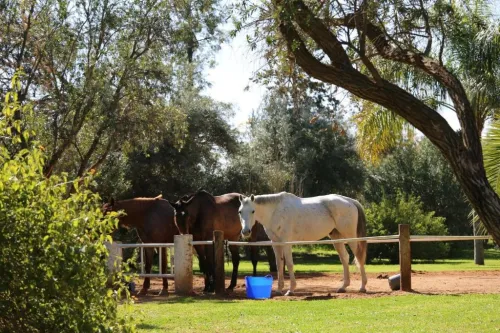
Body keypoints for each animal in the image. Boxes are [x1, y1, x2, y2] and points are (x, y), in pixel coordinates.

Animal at [238, 191, 368, 294]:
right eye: (240, 211)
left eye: (253, 211)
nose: (246, 232)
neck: (275, 211)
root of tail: (350, 201)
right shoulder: (276, 243)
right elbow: (279, 265)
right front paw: (279, 289)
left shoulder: (286, 243)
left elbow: (289, 264)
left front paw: (291, 290)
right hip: (337, 237)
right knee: (345, 258)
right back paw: (343, 287)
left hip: (351, 238)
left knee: (359, 258)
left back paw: (362, 287)